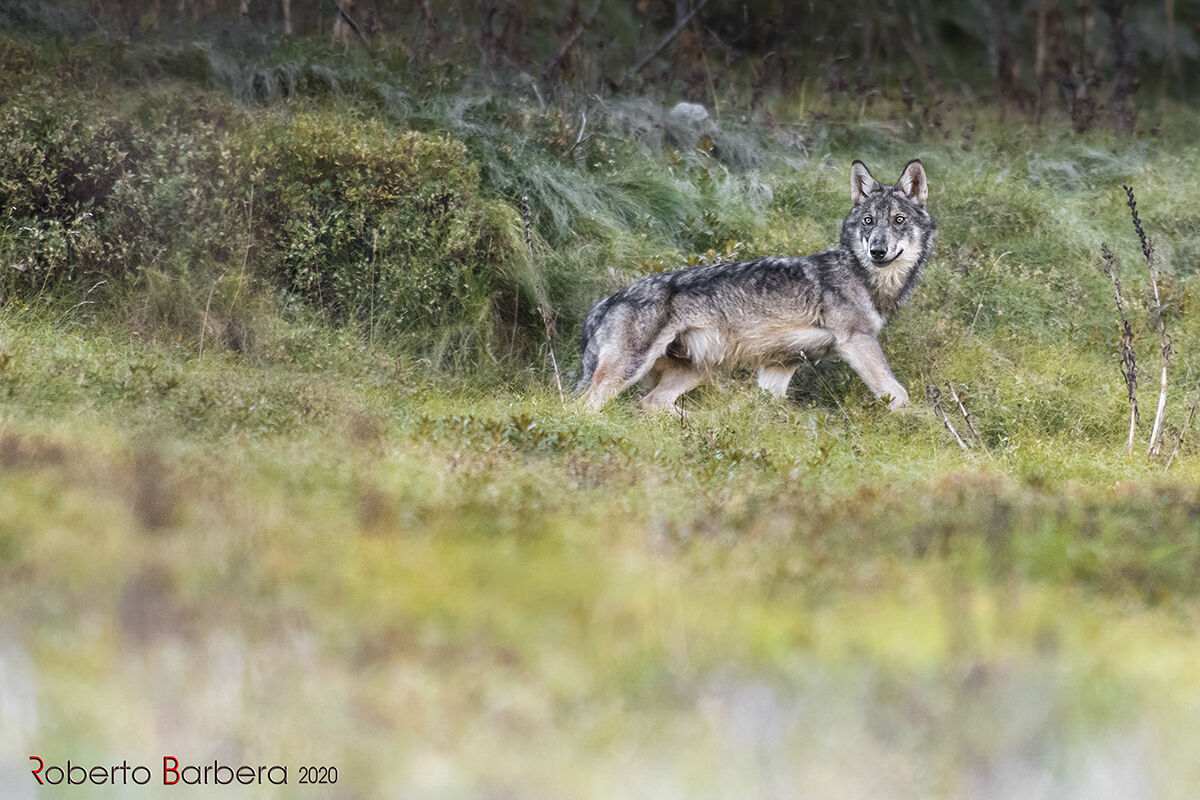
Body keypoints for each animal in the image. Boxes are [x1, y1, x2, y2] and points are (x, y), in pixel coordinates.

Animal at [575, 160, 936, 411]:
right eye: (868, 221)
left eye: (899, 220)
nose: (877, 251)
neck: (861, 273)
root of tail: (608, 300)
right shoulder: (857, 342)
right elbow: (899, 394)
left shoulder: (780, 364)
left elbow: (771, 410)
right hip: (628, 371)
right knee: (583, 408)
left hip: (696, 372)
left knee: (651, 403)